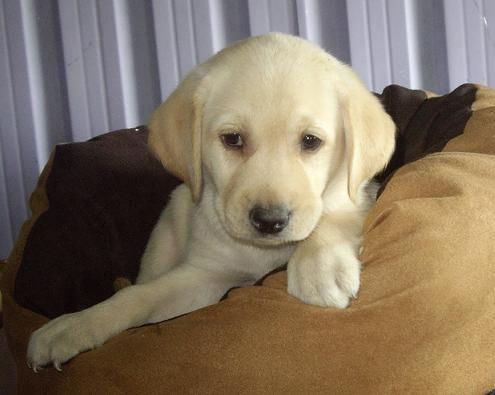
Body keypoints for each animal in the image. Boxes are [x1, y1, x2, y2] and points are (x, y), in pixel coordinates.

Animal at [28, 33, 396, 372]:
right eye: (232, 139)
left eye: (310, 141)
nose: (269, 221)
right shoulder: (204, 276)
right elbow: (138, 295)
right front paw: (75, 325)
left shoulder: (358, 194)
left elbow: (335, 215)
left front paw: (319, 268)